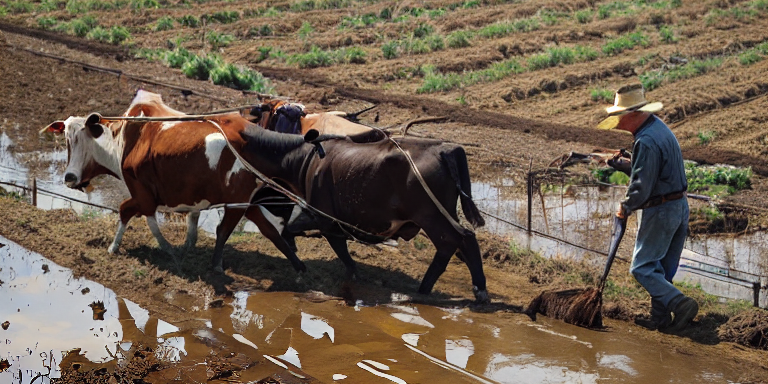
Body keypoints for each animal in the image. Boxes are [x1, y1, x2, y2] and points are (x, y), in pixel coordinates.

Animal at [44, 89, 304, 272]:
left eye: (82, 138)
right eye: (66, 139)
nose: (69, 177)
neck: (125, 139)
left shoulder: (142, 191)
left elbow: (131, 212)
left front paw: (118, 247)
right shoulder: (245, 203)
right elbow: (270, 231)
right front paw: (299, 266)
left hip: (235, 203)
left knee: (224, 230)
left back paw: (216, 266)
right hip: (240, 202)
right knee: (255, 229)